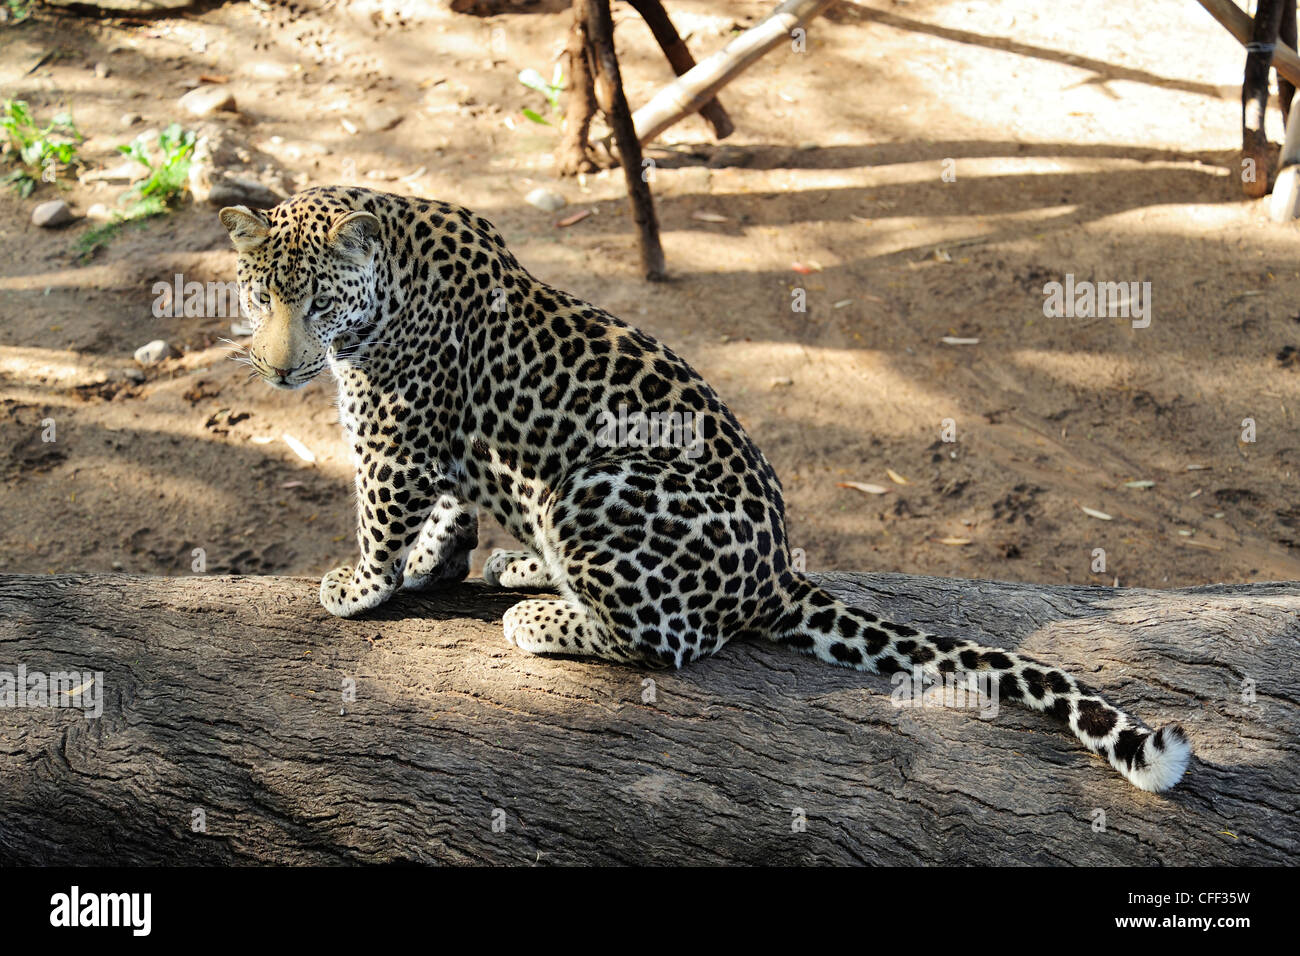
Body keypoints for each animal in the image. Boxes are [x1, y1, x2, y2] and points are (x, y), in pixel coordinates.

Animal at [220, 186, 1192, 793]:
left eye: (316, 303)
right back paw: (528, 570)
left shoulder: (393, 429)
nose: (275, 370)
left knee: (670, 640)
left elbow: (381, 512)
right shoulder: (454, 440)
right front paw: (432, 565)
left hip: (593, 481)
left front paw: (360, 586)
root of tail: (777, 573)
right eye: (261, 296)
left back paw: (540, 615)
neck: (389, 266)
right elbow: (449, 511)